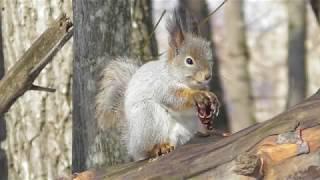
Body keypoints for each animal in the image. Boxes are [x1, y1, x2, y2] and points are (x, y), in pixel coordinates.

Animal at [95, 9, 220, 162]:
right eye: (189, 61)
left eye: (209, 56)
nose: (208, 76)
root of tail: (132, 144)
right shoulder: (161, 85)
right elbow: (174, 98)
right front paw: (197, 96)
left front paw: (212, 100)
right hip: (147, 117)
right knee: (147, 149)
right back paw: (158, 148)